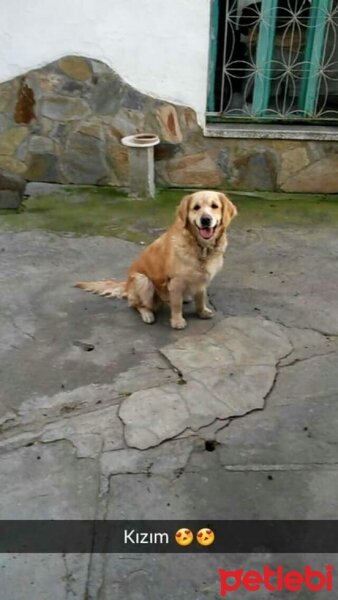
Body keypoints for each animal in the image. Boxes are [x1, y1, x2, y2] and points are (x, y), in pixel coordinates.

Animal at [75, 191, 236, 328]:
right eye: (196, 207)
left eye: (214, 206)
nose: (206, 220)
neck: (201, 248)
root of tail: (126, 285)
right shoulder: (175, 281)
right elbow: (176, 305)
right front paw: (177, 321)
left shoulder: (202, 280)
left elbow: (201, 297)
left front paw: (202, 312)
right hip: (143, 281)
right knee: (136, 305)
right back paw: (147, 314)